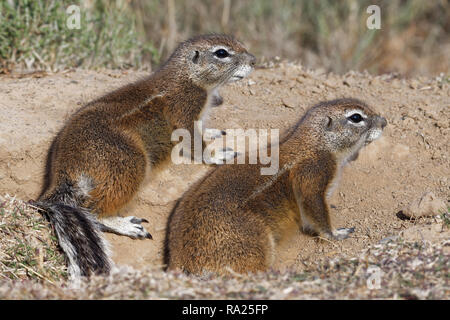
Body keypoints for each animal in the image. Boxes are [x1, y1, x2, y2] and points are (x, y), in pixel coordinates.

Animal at [33, 35, 255, 280]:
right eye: (222, 53)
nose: (254, 61)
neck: (187, 77)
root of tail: (66, 167)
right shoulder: (186, 113)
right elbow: (196, 145)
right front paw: (217, 155)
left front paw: (213, 133)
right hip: (130, 164)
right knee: (93, 211)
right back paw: (128, 225)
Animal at [164, 97, 386, 276]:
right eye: (356, 117)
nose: (384, 122)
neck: (316, 143)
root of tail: (180, 263)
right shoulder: (314, 173)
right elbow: (316, 207)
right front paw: (337, 233)